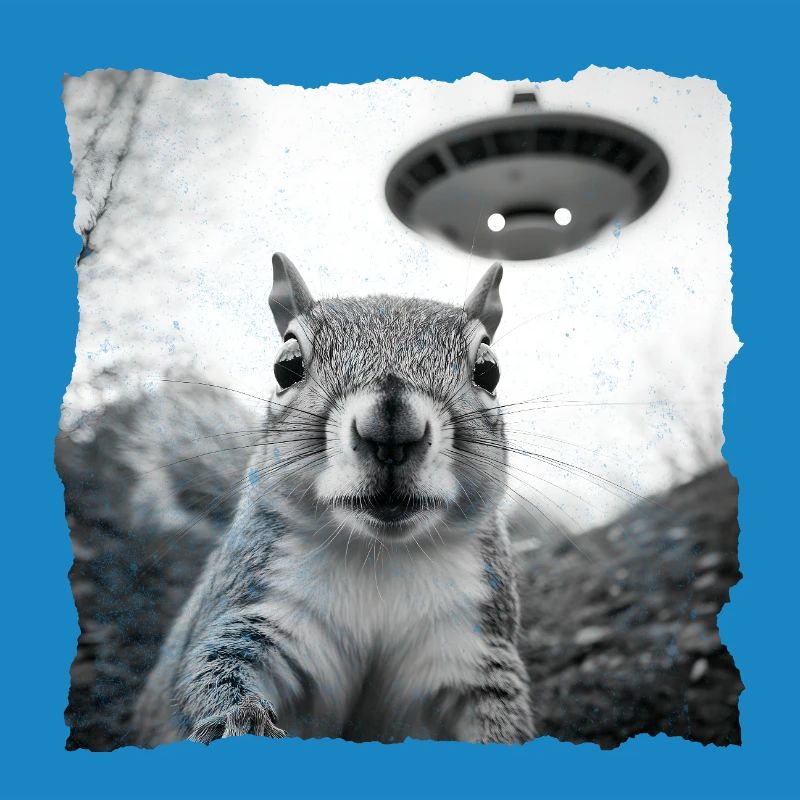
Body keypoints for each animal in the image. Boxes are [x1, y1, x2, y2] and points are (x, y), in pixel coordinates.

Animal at [132, 253, 534, 746]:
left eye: (488, 370)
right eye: (286, 366)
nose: (391, 429)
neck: (381, 555)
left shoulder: (470, 645)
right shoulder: (260, 607)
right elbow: (216, 667)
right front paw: (238, 722)